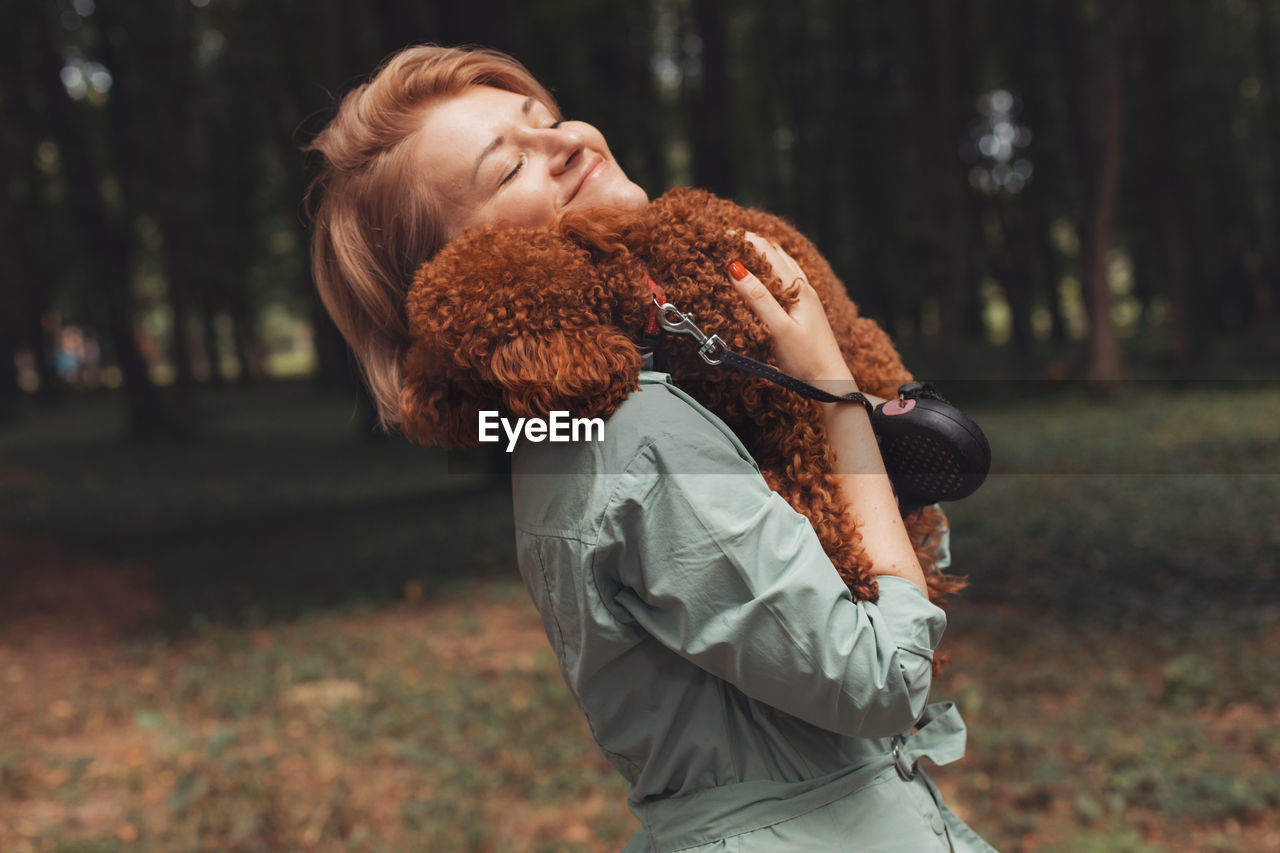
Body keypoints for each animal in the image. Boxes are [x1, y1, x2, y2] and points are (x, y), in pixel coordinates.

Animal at [399, 184, 962, 612]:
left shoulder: (790, 397)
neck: (659, 292)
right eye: (462, 372)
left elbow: (813, 481)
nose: (421, 404)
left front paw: (851, 573)